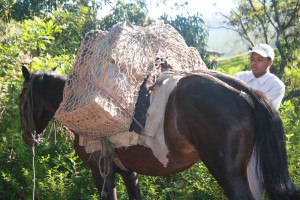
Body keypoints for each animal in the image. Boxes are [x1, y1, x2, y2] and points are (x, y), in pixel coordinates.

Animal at [19, 65, 298, 199]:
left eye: (22, 99)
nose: (27, 137)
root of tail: (244, 91)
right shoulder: (128, 172)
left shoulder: (101, 172)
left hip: (229, 174)